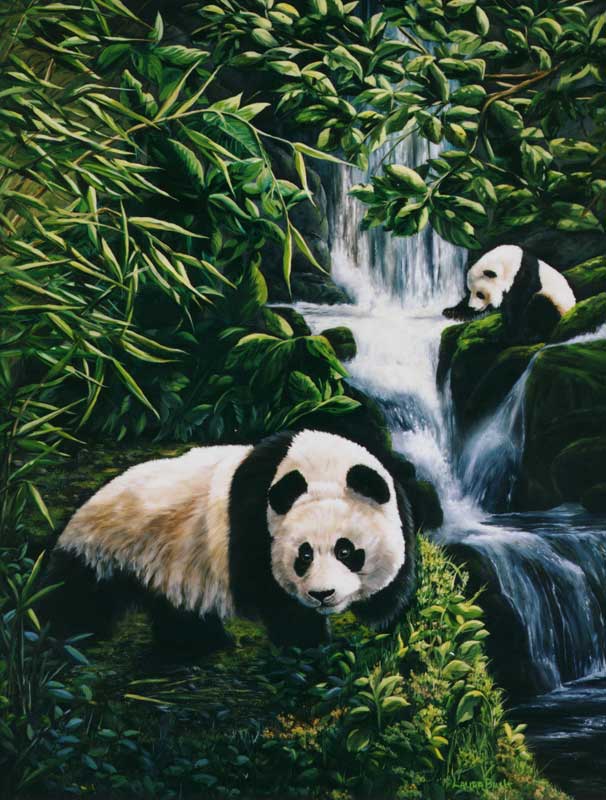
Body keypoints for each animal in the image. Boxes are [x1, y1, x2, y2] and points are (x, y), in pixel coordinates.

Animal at [44, 430, 416, 653]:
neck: (320, 464)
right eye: (304, 555)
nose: (322, 594)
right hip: (109, 550)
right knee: (78, 600)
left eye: (346, 550)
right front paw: (307, 641)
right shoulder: (254, 523)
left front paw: (382, 618)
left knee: (179, 611)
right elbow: (273, 593)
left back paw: (196, 645)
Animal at [443, 245, 576, 340]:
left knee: (541, 306)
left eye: (480, 294)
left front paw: (511, 335)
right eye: (470, 291)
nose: (472, 307)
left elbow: (518, 307)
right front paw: (451, 311)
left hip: (556, 303)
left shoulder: (524, 278)